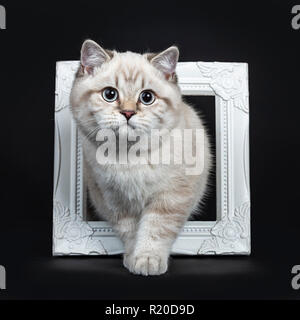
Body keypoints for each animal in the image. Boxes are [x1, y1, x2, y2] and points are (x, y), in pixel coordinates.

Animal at [70, 40, 212, 276]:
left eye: (147, 98)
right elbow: (130, 233)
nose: (128, 113)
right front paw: (132, 258)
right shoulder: (117, 202)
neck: (129, 157)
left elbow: (155, 231)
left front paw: (147, 260)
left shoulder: (170, 197)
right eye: (110, 94)